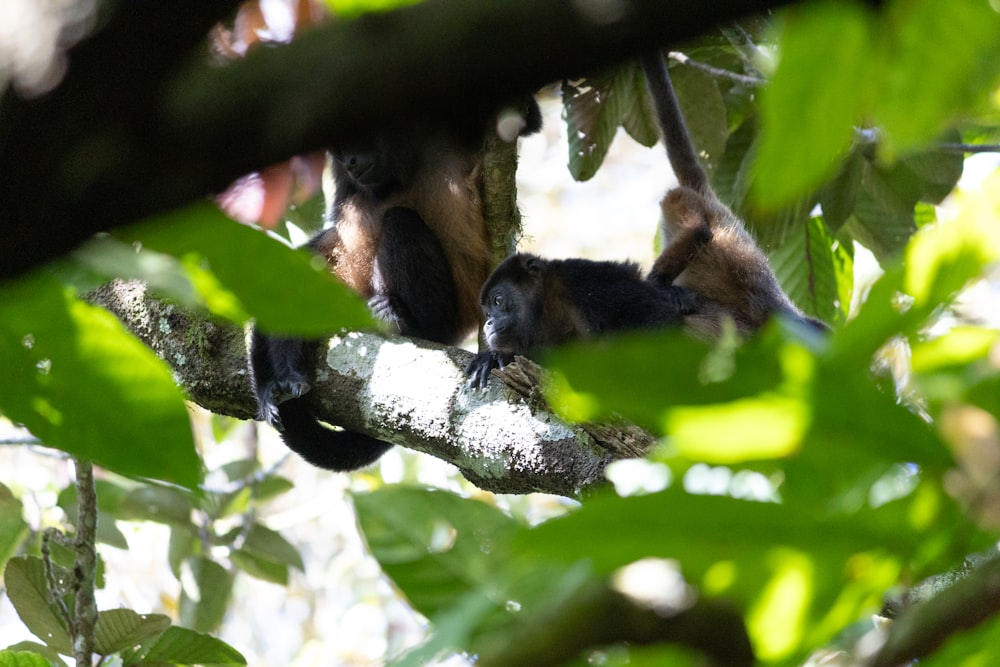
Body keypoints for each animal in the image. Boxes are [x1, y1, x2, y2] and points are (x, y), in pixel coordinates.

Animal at [254, 102, 544, 472]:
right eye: (338, 151)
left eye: (352, 136)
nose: (350, 161)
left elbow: (525, 123)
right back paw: (287, 379)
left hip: (449, 314)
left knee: (399, 221)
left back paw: (406, 321)